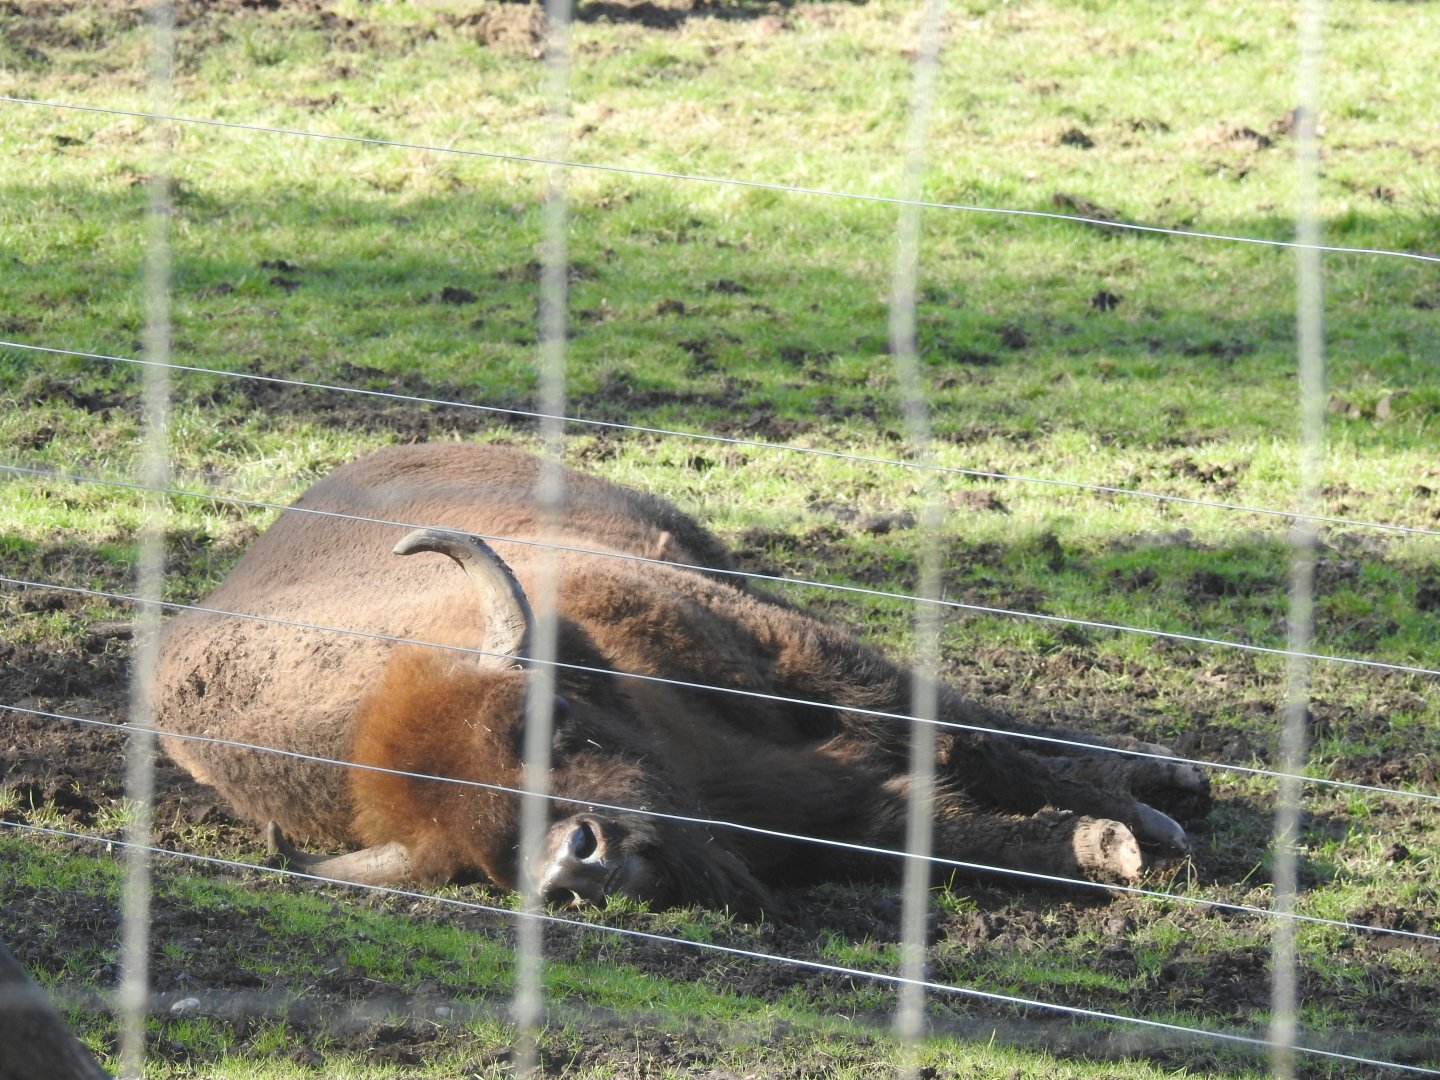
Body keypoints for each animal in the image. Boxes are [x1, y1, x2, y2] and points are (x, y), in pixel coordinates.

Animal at [155, 442, 1206, 914]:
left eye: (557, 724)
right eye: (470, 862)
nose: (573, 865)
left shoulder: (792, 661)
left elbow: (962, 745)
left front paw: (1140, 826)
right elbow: (930, 828)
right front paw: (1107, 847)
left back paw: (1171, 777)